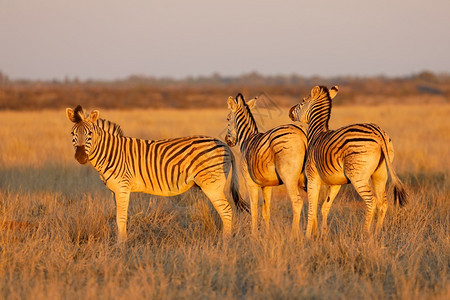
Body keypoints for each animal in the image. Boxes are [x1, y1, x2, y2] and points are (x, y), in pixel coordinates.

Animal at [66, 105, 250, 244]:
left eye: (90, 134)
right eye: (73, 134)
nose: (80, 157)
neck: (110, 153)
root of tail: (225, 145)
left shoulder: (123, 187)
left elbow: (121, 217)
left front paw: (121, 245)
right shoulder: (114, 190)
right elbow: (118, 217)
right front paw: (120, 241)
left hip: (212, 184)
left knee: (226, 210)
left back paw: (226, 241)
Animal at [225, 92, 310, 236]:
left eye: (227, 119)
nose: (227, 140)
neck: (247, 139)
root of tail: (302, 133)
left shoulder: (250, 182)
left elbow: (254, 209)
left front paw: (253, 235)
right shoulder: (267, 185)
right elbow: (266, 211)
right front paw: (267, 234)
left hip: (289, 177)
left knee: (297, 202)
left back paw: (294, 236)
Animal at [288, 85, 408, 238]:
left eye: (302, 101)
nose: (290, 111)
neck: (316, 134)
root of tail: (378, 133)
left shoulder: (312, 177)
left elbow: (312, 208)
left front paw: (307, 237)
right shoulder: (336, 183)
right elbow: (325, 207)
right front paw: (323, 235)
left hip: (357, 176)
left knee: (372, 201)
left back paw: (366, 233)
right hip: (380, 173)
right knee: (383, 202)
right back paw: (377, 233)